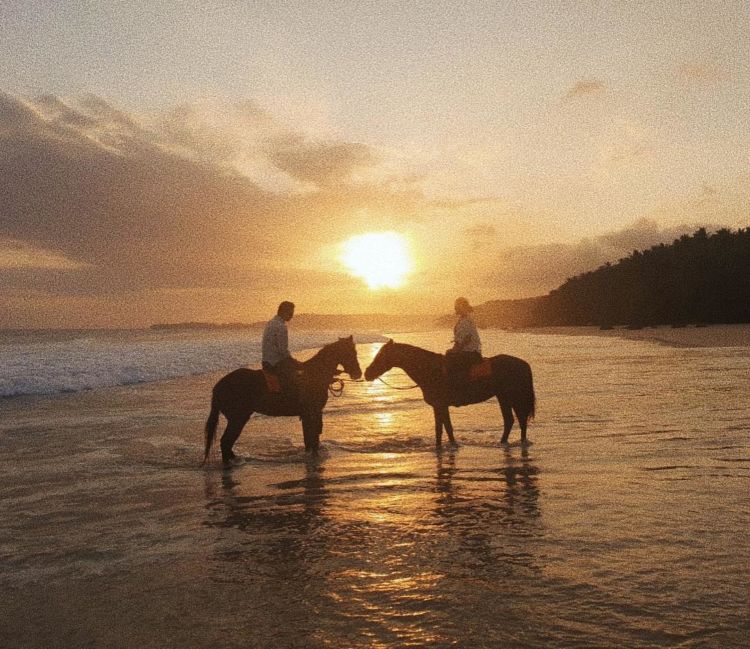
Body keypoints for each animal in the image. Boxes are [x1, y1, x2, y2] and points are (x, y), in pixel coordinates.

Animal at [203, 336, 362, 464]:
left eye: (355, 352)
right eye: (350, 353)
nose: (358, 373)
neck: (315, 374)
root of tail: (218, 386)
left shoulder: (309, 415)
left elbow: (310, 440)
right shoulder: (312, 413)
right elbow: (313, 440)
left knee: (227, 444)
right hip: (238, 418)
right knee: (225, 442)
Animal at [364, 342, 536, 448]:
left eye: (381, 355)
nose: (367, 373)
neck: (429, 370)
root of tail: (523, 364)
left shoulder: (439, 405)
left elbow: (443, 428)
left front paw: (445, 447)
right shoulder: (440, 406)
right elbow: (444, 428)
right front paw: (448, 445)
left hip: (512, 396)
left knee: (518, 419)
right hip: (504, 397)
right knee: (513, 420)